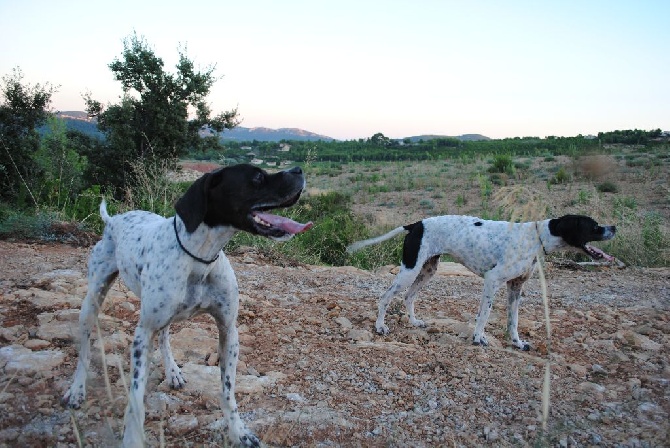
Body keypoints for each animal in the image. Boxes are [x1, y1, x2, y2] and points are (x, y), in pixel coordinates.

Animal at [61, 164, 314, 448]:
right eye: (258, 177)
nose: (298, 169)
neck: (200, 258)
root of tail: (113, 220)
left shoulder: (228, 329)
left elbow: (228, 392)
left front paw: (239, 432)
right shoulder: (142, 334)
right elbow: (136, 397)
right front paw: (132, 437)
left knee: (165, 337)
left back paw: (172, 371)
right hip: (92, 301)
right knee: (84, 350)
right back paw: (77, 390)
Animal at [350, 214, 616, 350]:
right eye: (594, 226)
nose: (613, 227)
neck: (536, 237)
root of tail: (415, 224)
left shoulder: (515, 287)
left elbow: (513, 320)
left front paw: (517, 342)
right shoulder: (492, 280)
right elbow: (484, 314)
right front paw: (478, 338)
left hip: (427, 270)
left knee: (408, 297)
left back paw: (414, 322)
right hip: (409, 270)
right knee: (385, 297)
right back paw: (380, 326)